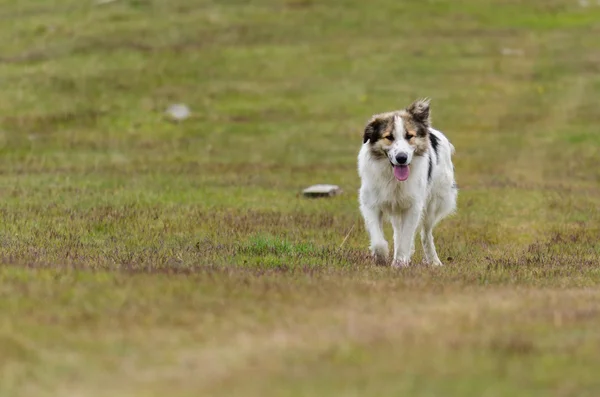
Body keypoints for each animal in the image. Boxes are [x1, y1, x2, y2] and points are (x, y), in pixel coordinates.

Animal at [356, 97, 460, 268]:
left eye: (409, 136)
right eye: (389, 137)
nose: (402, 158)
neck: (393, 177)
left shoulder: (413, 206)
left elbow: (406, 236)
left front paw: (400, 262)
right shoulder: (371, 203)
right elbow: (378, 241)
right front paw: (381, 257)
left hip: (433, 203)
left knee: (426, 233)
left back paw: (434, 261)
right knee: (399, 232)